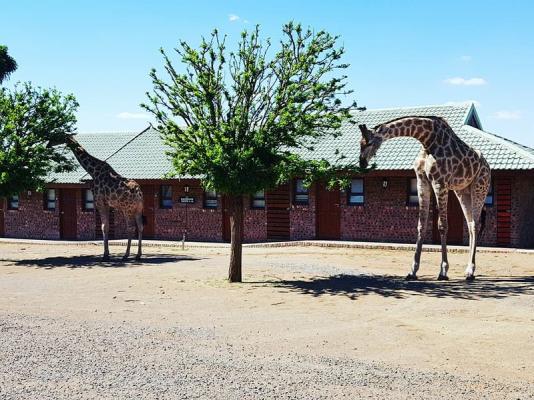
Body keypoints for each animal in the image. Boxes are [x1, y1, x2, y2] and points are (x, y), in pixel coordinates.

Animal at [360, 115, 494, 282]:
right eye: (360, 143)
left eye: (369, 142)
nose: (361, 163)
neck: (426, 140)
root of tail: (487, 166)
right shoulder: (421, 181)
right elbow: (421, 225)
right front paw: (413, 271)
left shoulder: (439, 183)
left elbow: (442, 225)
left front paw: (443, 271)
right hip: (463, 191)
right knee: (470, 225)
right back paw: (467, 269)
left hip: (480, 187)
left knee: (475, 224)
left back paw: (471, 271)